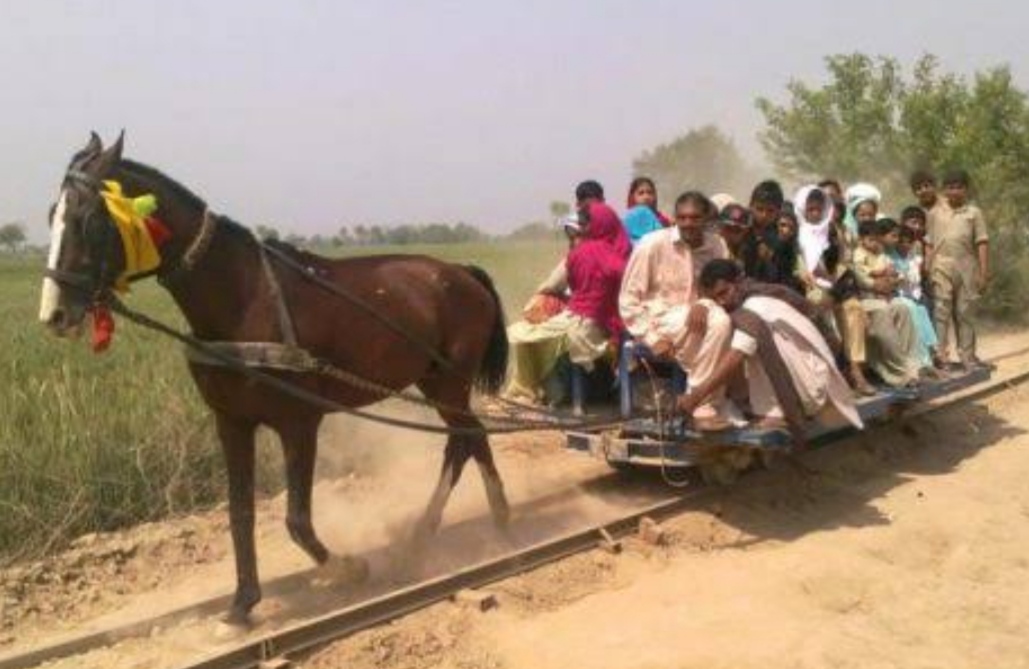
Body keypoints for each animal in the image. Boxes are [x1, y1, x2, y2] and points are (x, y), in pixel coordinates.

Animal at [38, 132, 512, 621]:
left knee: (465, 440)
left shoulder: (299, 422)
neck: (243, 300)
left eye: (90, 220)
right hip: (436, 382)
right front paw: (242, 604)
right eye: (53, 215)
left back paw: (460, 529)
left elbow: (296, 519)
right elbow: (240, 513)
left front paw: (348, 568)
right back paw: (465, 526)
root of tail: (463, 272)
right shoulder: (232, 422)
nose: (54, 313)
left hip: (450, 383)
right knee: (468, 439)